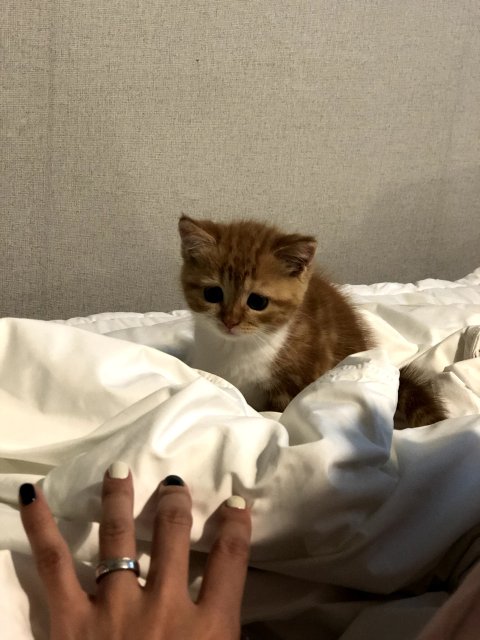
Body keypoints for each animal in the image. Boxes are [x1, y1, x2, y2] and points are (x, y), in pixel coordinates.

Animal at [178, 215, 446, 428]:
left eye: (257, 301)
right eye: (212, 294)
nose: (229, 321)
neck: (236, 348)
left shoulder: (295, 382)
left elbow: (276, 415)